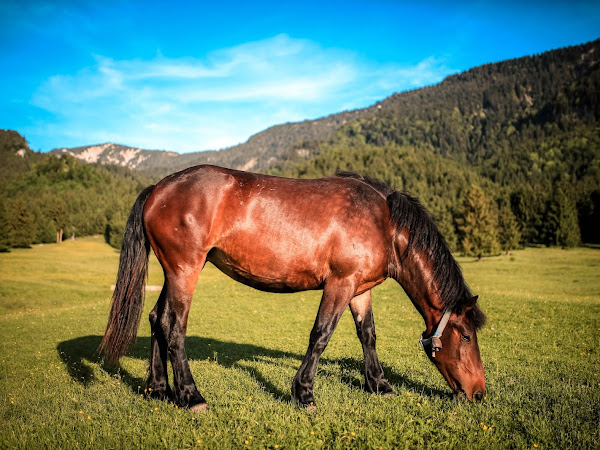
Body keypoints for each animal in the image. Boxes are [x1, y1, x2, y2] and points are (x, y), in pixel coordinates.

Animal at [99, 165, 488, 412]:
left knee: (156, 319)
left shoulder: (360, 289)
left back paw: (158, 389)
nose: (479, 393)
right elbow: (321, 335)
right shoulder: (340, 284)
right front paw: (304, 394)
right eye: (467, 336)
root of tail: (158, 188)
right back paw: (191, 396)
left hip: (174, 272)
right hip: (185, 270)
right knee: (175, 328)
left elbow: (368, 335)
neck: (384, 221)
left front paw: (379, 385)